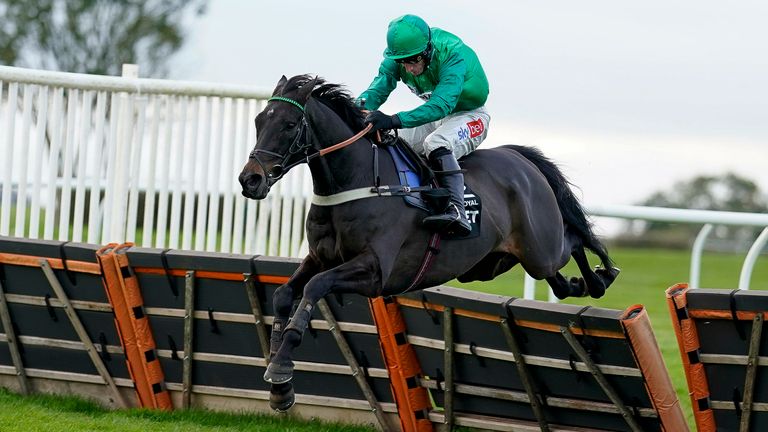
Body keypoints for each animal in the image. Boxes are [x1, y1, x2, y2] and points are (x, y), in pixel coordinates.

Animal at [237, 74, 620, 412]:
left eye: (289, 124)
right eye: (258, 121)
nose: (249, 180)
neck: (356, 181)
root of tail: (520, 159)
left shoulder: (375, 271)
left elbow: (315, 287)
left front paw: (282, 366)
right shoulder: (320, 257)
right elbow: (284, 293)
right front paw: (279, 384)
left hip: (541, 248)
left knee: (573, 240)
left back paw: (601, 277)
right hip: (491, 264)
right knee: (557, 276)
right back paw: (580, 283)